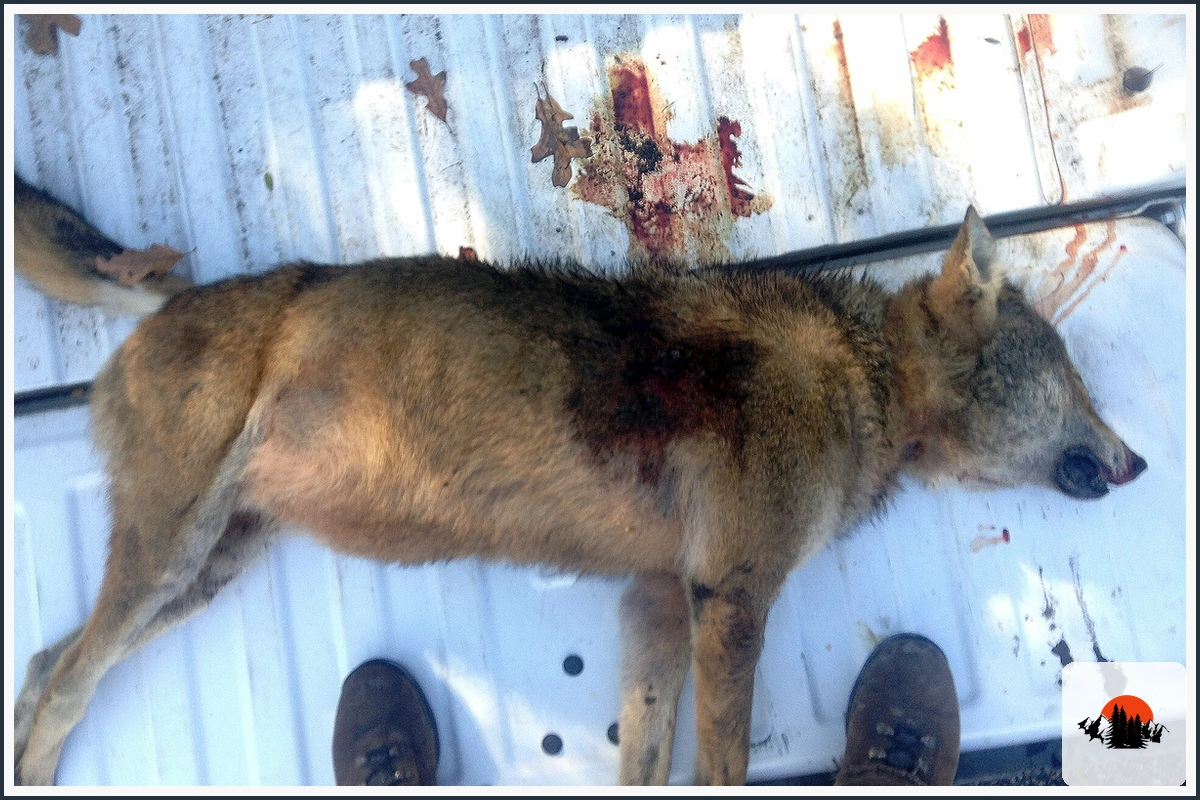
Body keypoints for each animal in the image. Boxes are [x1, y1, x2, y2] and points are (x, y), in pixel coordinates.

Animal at [12, 175, 1146, 785]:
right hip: (171, 560)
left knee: (39, 668)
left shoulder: (655, 602)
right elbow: (721, 763)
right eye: (1076, 380)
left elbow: (646, 761)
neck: (858, 377)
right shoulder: (731, 598)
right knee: (61, 680)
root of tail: (170, 295)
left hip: (205, 574)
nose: (1138, 461)